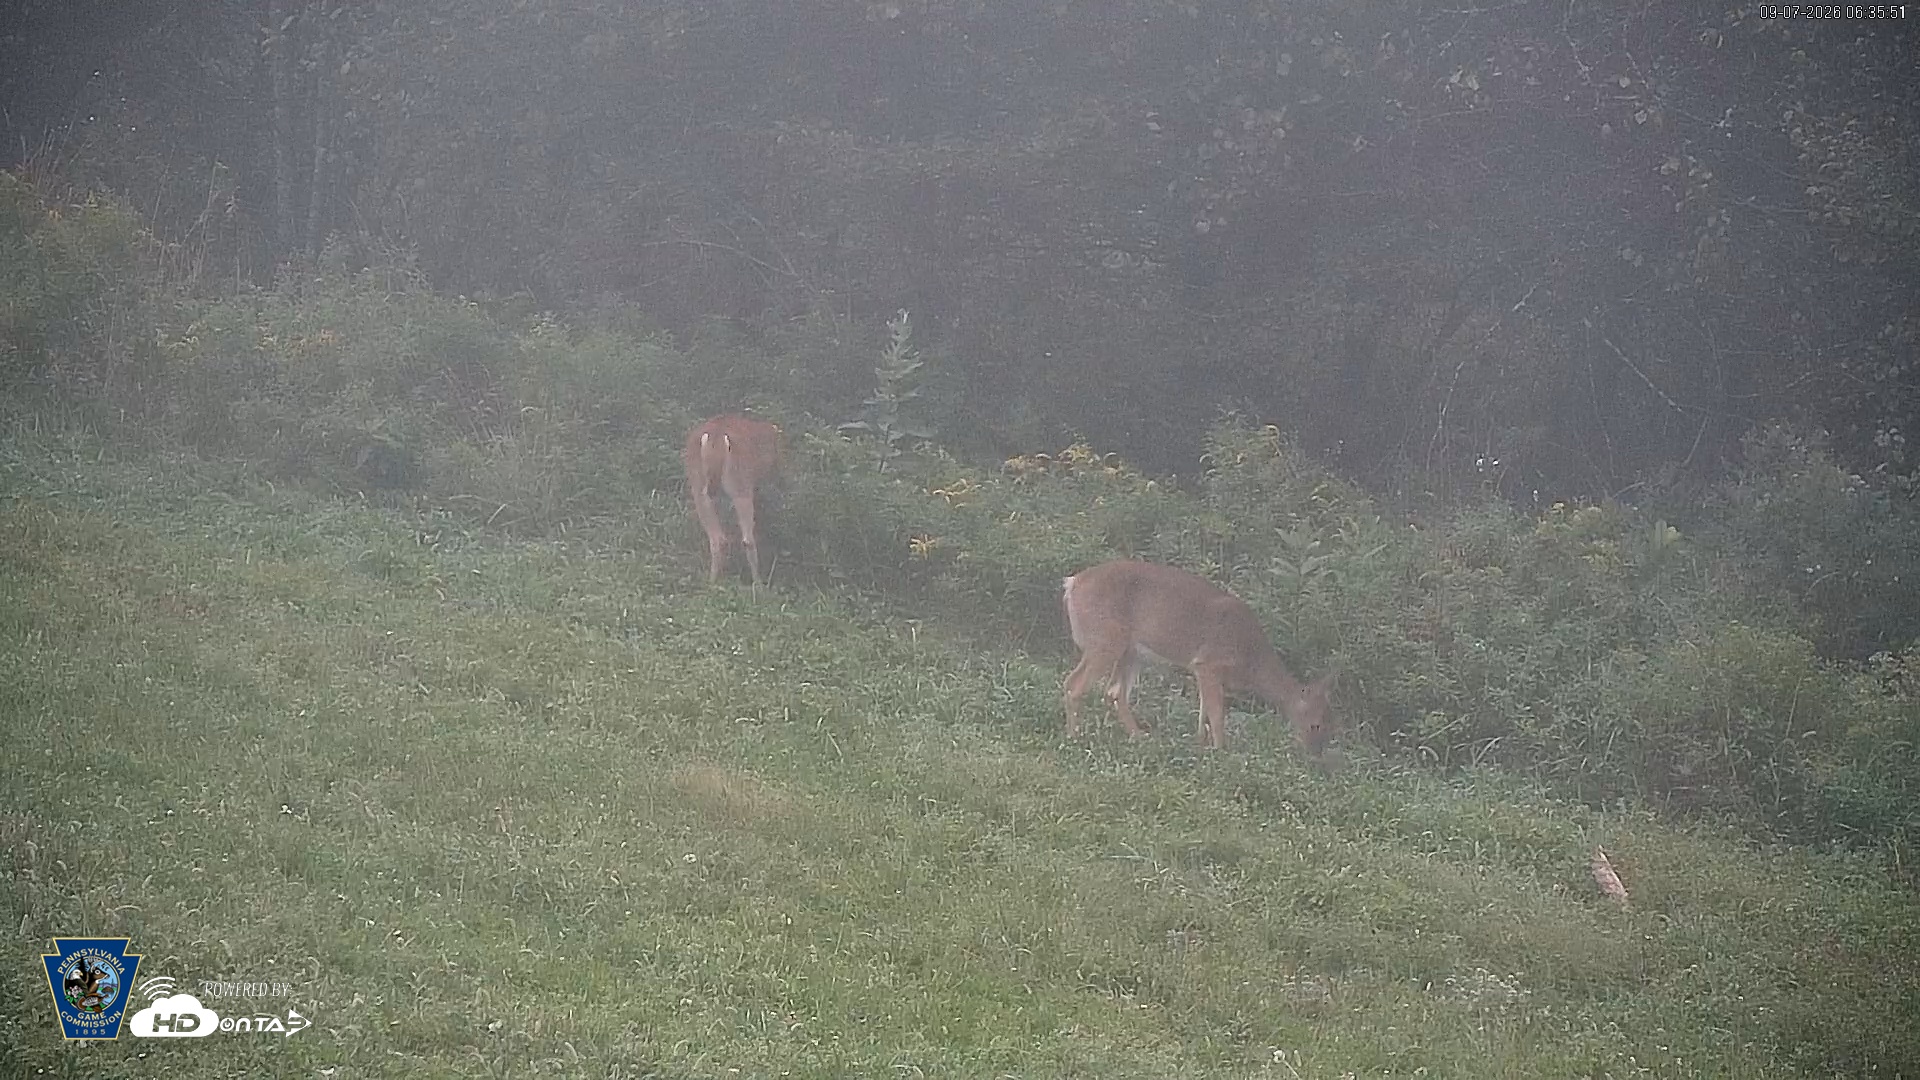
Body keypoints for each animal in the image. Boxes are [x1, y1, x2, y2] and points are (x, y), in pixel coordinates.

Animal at [683, 415, 783, 586]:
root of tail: (716, 438)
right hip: (740, 484)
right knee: (747, 539)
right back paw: (759, 584)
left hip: (699, 486)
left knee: (717, 539)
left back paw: (712, 582)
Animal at [1061, 560, 1335, 754]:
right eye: (1316, 723)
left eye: (1331, 722)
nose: (1315, 752)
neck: (1251, 661)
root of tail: (1073, 583)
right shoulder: (1209, 663)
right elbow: (1216, 713)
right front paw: (1221, 751)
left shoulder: (1203, 671)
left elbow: (1204, 711)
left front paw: (1200, 745)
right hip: (1105, 639)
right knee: (1075, 684)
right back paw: (1075, 738)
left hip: (1131, 651)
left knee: (1114, 692)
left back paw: (1139, 737)